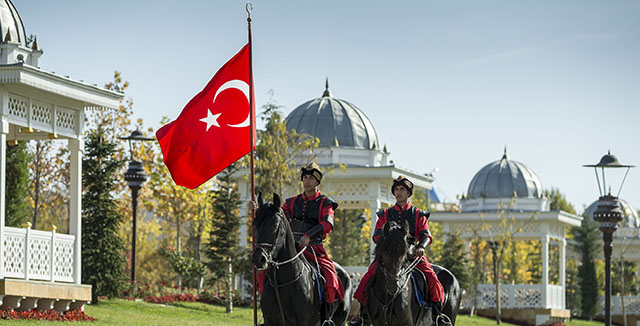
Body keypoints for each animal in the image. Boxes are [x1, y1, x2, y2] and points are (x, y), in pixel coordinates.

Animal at [251, 194, 352, 326]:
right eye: (256, 224)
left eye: (274, 225)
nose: (258, 258)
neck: (283, 283)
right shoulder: (270, 322)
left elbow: (326, 223)